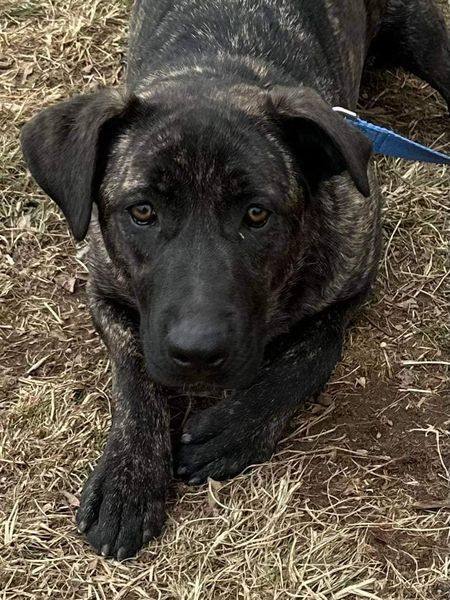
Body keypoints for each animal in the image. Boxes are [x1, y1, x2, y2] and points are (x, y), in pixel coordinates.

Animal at [19, 0, 448, 556]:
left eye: (257, 215)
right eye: (142, 211)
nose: (199, 352)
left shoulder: (353, 280)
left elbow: (311, 354)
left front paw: (235, 427)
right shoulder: (103, 289)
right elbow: (134, 372)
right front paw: (128, 476)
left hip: (426, 37)